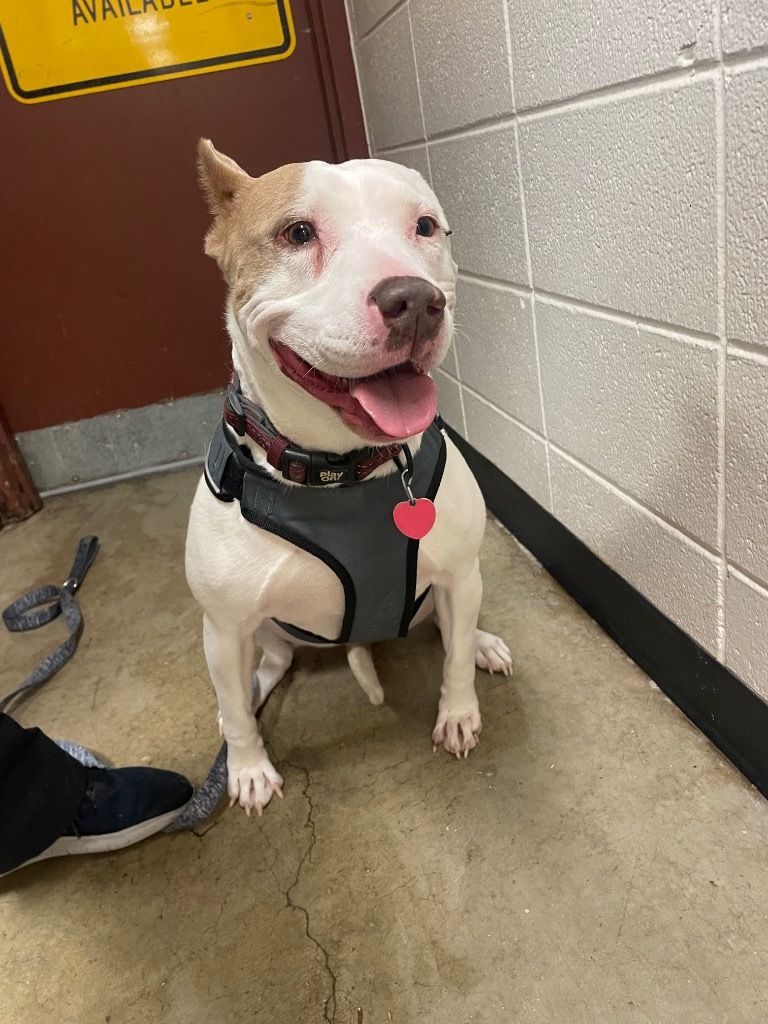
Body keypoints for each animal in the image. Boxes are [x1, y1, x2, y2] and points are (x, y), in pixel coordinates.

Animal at [183, 142, 514, 815]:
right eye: (297, 233)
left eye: (425, 226)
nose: (415, 300)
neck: (342, 470)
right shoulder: (223, 626)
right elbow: (236, 711)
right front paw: (247, 766)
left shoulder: (457, 573)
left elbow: (455, 662)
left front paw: (458, 713)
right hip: (258, 636)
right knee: (260, 674)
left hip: (459, 586)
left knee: (455, 627)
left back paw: (482, 642)